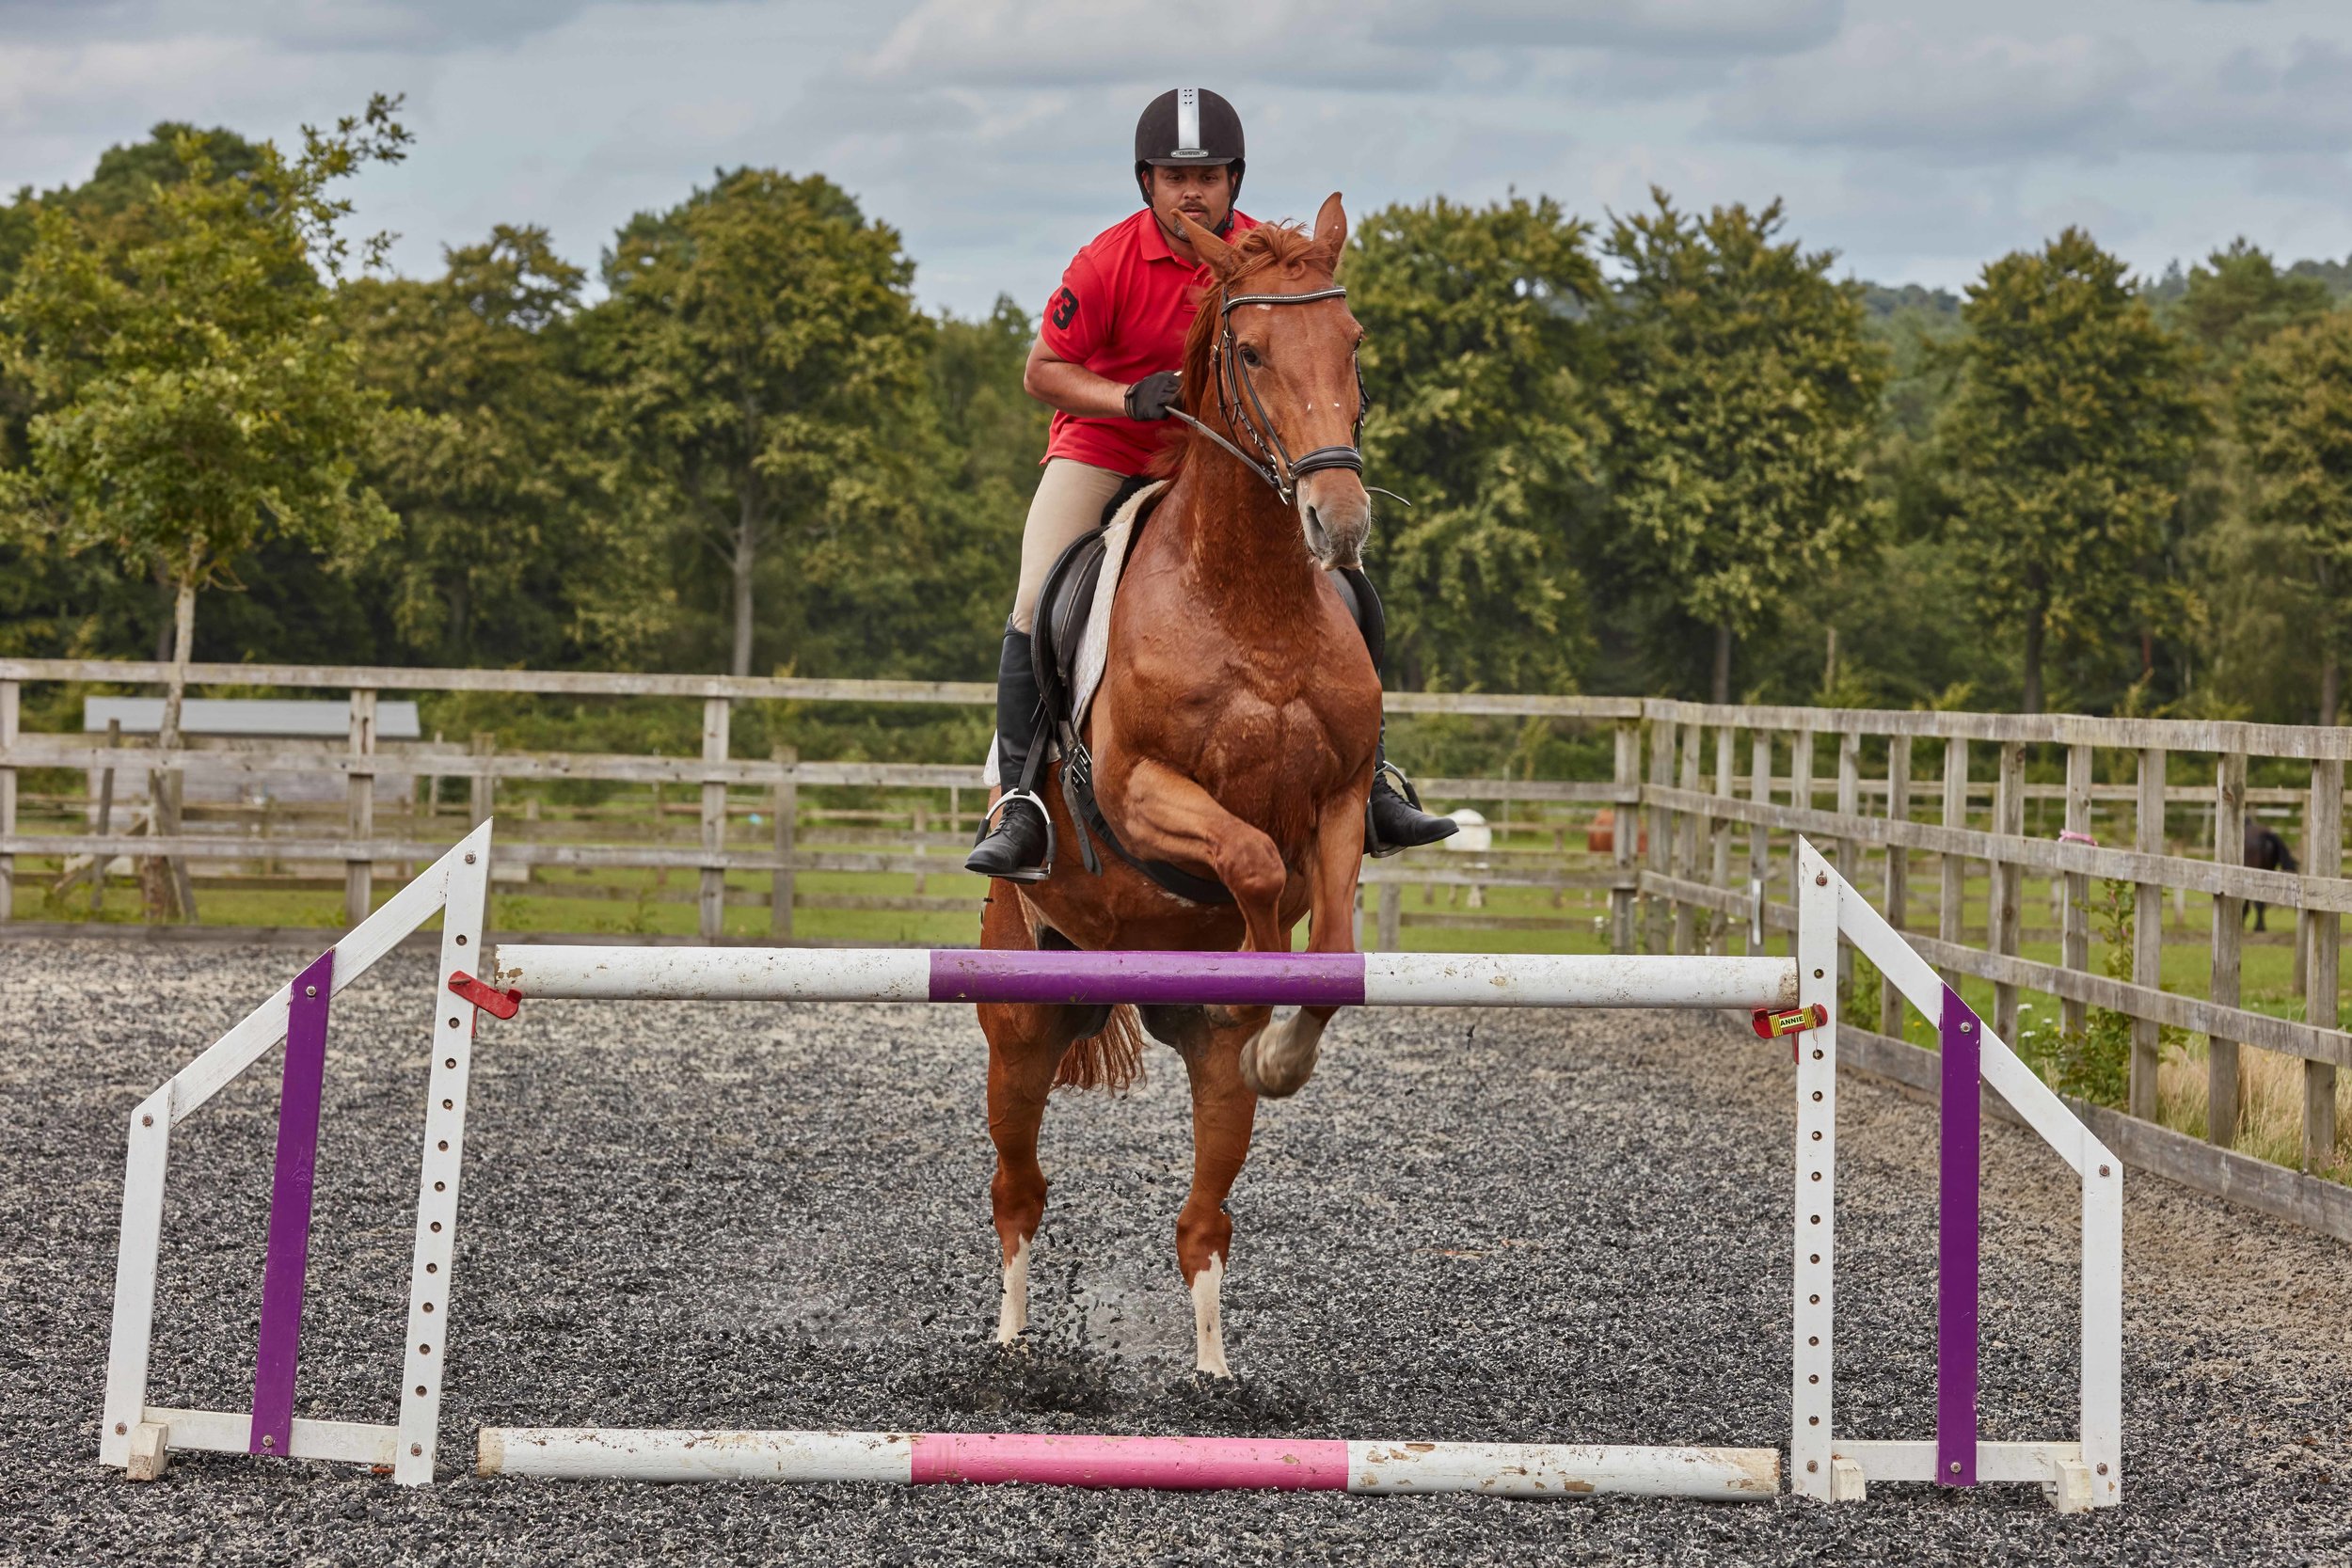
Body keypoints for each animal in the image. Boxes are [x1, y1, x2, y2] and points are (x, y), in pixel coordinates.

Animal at [974, 192, 1374, 1372]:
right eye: (1249, 351)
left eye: (1350, 343)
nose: (1340, 522)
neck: (1249, 598)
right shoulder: (1140, 791)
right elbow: (1249, 859)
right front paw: (1260, 976)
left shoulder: (1340, 800)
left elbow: (1329, 937)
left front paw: (1283, 1034)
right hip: (1017, 1027)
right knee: (1018, 1188)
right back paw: (1010, 1339)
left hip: (1201, 1068)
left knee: (1204, 1217)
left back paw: (1211, 1366)